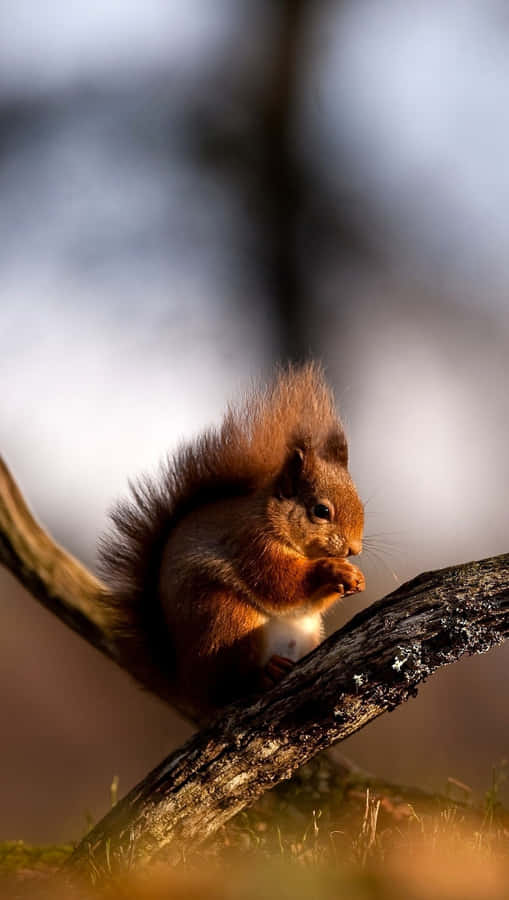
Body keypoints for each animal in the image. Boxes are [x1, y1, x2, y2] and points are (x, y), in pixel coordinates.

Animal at [99, 364, 365, 720]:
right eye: (321, 511)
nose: (354, 549)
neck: (272, 519)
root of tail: (190, 688)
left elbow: (306, 603)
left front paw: (353, 577)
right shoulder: (251, 544)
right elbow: (281, 585)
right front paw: (333, 569)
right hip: (225, 620)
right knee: (231, 685)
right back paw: (263, 675)